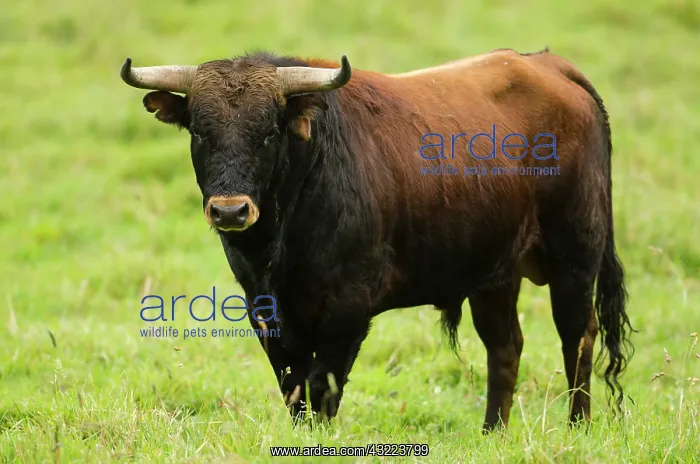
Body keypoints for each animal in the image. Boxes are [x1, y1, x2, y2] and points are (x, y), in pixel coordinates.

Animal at [120, 47, 634, 432]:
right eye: (200, 132)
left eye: (267, 133)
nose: (230, 210)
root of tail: (549, 66)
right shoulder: (266, 312)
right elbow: (293, 388)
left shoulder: (347, 309)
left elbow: (322, 388)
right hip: (495, 275)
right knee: (505, 347)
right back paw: (493, 433)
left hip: (575, 256)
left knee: (577, 336)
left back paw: (578, 426)